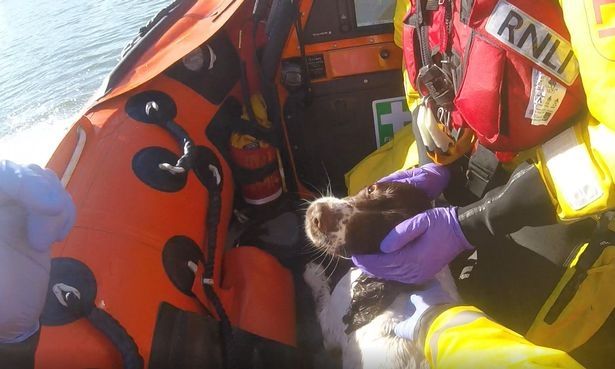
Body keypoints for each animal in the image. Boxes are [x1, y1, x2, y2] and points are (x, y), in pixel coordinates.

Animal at [306, 181, 460, 368]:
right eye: (371, 189)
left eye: (369, 235)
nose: (319, 214)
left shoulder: (331, 322)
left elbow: (321, 295)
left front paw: (313, 273)